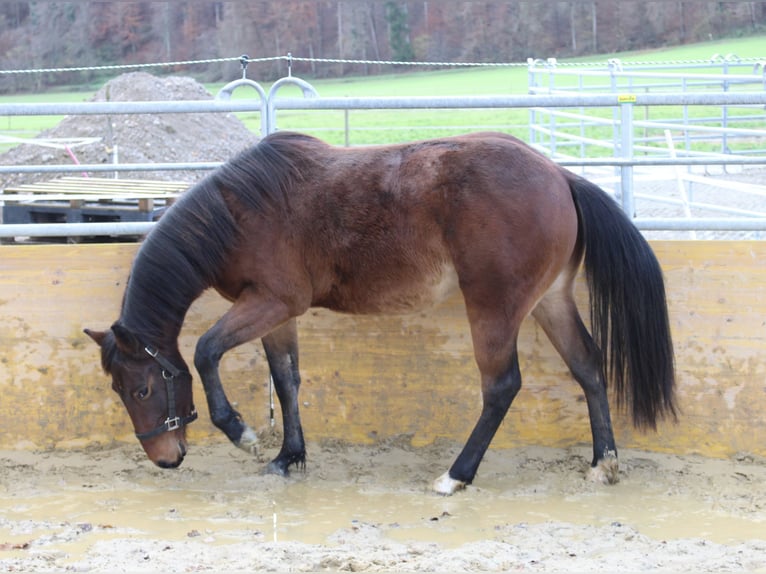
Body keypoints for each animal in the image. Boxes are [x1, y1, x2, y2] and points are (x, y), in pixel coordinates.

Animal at [85, 129, 680, 496]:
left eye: (141, 388)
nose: (164, 458)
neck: (239, 211)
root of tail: (559, 176)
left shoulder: (271, 302)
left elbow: (207, 351)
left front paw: (241, 433)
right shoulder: (279, 315)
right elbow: (286, 380)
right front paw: (288, 456)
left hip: (494, 307)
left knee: (501, 386)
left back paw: (456, 475)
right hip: (550, 300)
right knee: (588, 366)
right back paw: (603, 463)